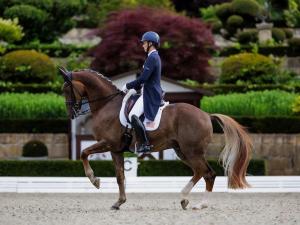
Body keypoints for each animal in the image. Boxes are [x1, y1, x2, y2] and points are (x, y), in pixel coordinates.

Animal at [58, 67, 251, 210]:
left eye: (66, 89)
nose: (70, 113)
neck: (107, 104)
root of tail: (206, 115)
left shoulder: (108, 143)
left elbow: (84, 152)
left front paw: (95, 180)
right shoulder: (116, 149)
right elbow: (120, 176)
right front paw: (119, 202)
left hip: (192, 151)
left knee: (208, 173)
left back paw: (198, 204)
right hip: (183, 152)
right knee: (200, 172)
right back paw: (184, 199)